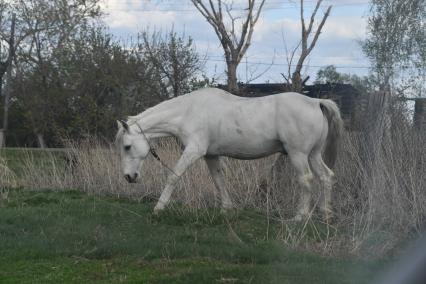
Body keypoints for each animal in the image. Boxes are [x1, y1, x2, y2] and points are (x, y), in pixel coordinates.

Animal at [115, 87, 342, 221]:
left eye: (127, 146)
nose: (128, 177)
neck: (188, 111)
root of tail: (315, 101)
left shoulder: (194, 151)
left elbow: (174, 176)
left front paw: (159, 207)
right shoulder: (211, 155)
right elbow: (219, 180)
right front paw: (226, 208)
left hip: (298, 154)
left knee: (306, 179)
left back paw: (300, 217)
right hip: (313, 155)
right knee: (325, 176)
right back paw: (325, 213)